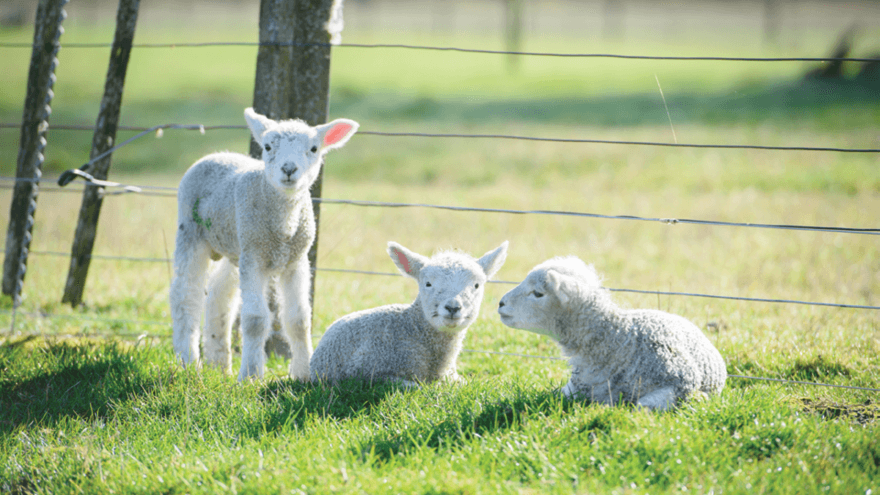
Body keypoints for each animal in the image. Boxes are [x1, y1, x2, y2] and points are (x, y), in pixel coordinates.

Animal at [172, 106, 358, 382]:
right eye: (268, 146)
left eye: (314, 148)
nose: (289, 169)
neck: (283, 227)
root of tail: (216, 155)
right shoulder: (255, 258)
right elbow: (255, 320)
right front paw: (250, 375)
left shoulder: (295, 260)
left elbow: (299, 320)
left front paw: (304, 373)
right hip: (191, 232)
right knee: (185, 295)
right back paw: (188, 361)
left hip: (235, 246)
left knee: (219, 293)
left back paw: (219, 364)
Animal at [498, 258, 724, 412]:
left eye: (538, 293)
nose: (500, 303)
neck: (616, 340)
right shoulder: (573, 388)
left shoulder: (680, 382)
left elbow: (642, 407)